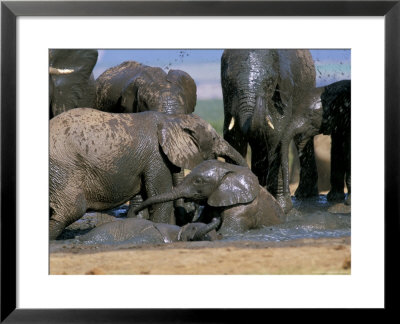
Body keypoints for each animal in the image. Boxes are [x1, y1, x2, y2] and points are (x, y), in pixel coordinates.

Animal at [50, 107, 247, 239]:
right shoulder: (156, 156)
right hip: (64, 167)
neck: (172, 120)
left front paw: (137, 218)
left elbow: (143, 199)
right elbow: (160, 198)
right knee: (71, 209)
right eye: (214, 138)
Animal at [220, 49, 318, 214]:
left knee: (300, 139)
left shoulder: (283, 94)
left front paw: (282, 208)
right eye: (229, 81)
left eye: (269, 83)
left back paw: (304, 195)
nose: (261, 97)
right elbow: (233, 140)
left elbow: (277, 138)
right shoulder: (228, 100)